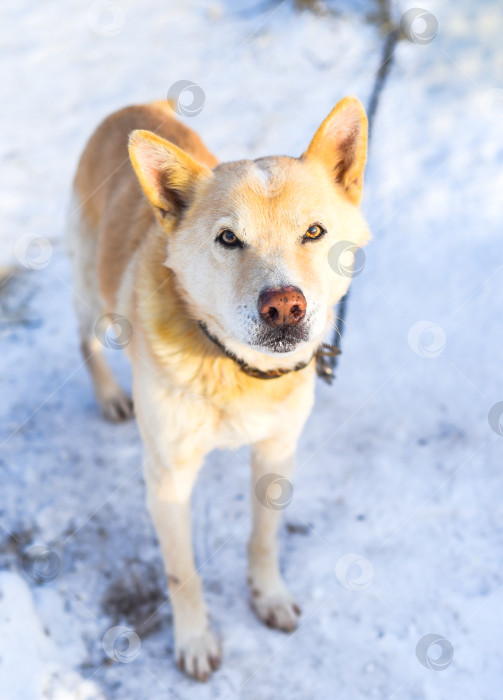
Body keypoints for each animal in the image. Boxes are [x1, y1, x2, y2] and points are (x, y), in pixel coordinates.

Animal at [68, 95, 370, 680]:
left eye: (314, 232)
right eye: (229, 238)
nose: (284, 306)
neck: (235, 367)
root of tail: (135, 105)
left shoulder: (277, 452)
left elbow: (264, 539)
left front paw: (268, 596)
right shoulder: (167, 480)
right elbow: (182, 574)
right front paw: (194, 640)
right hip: (93, 296)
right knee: (84, 339)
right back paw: (111, 395)